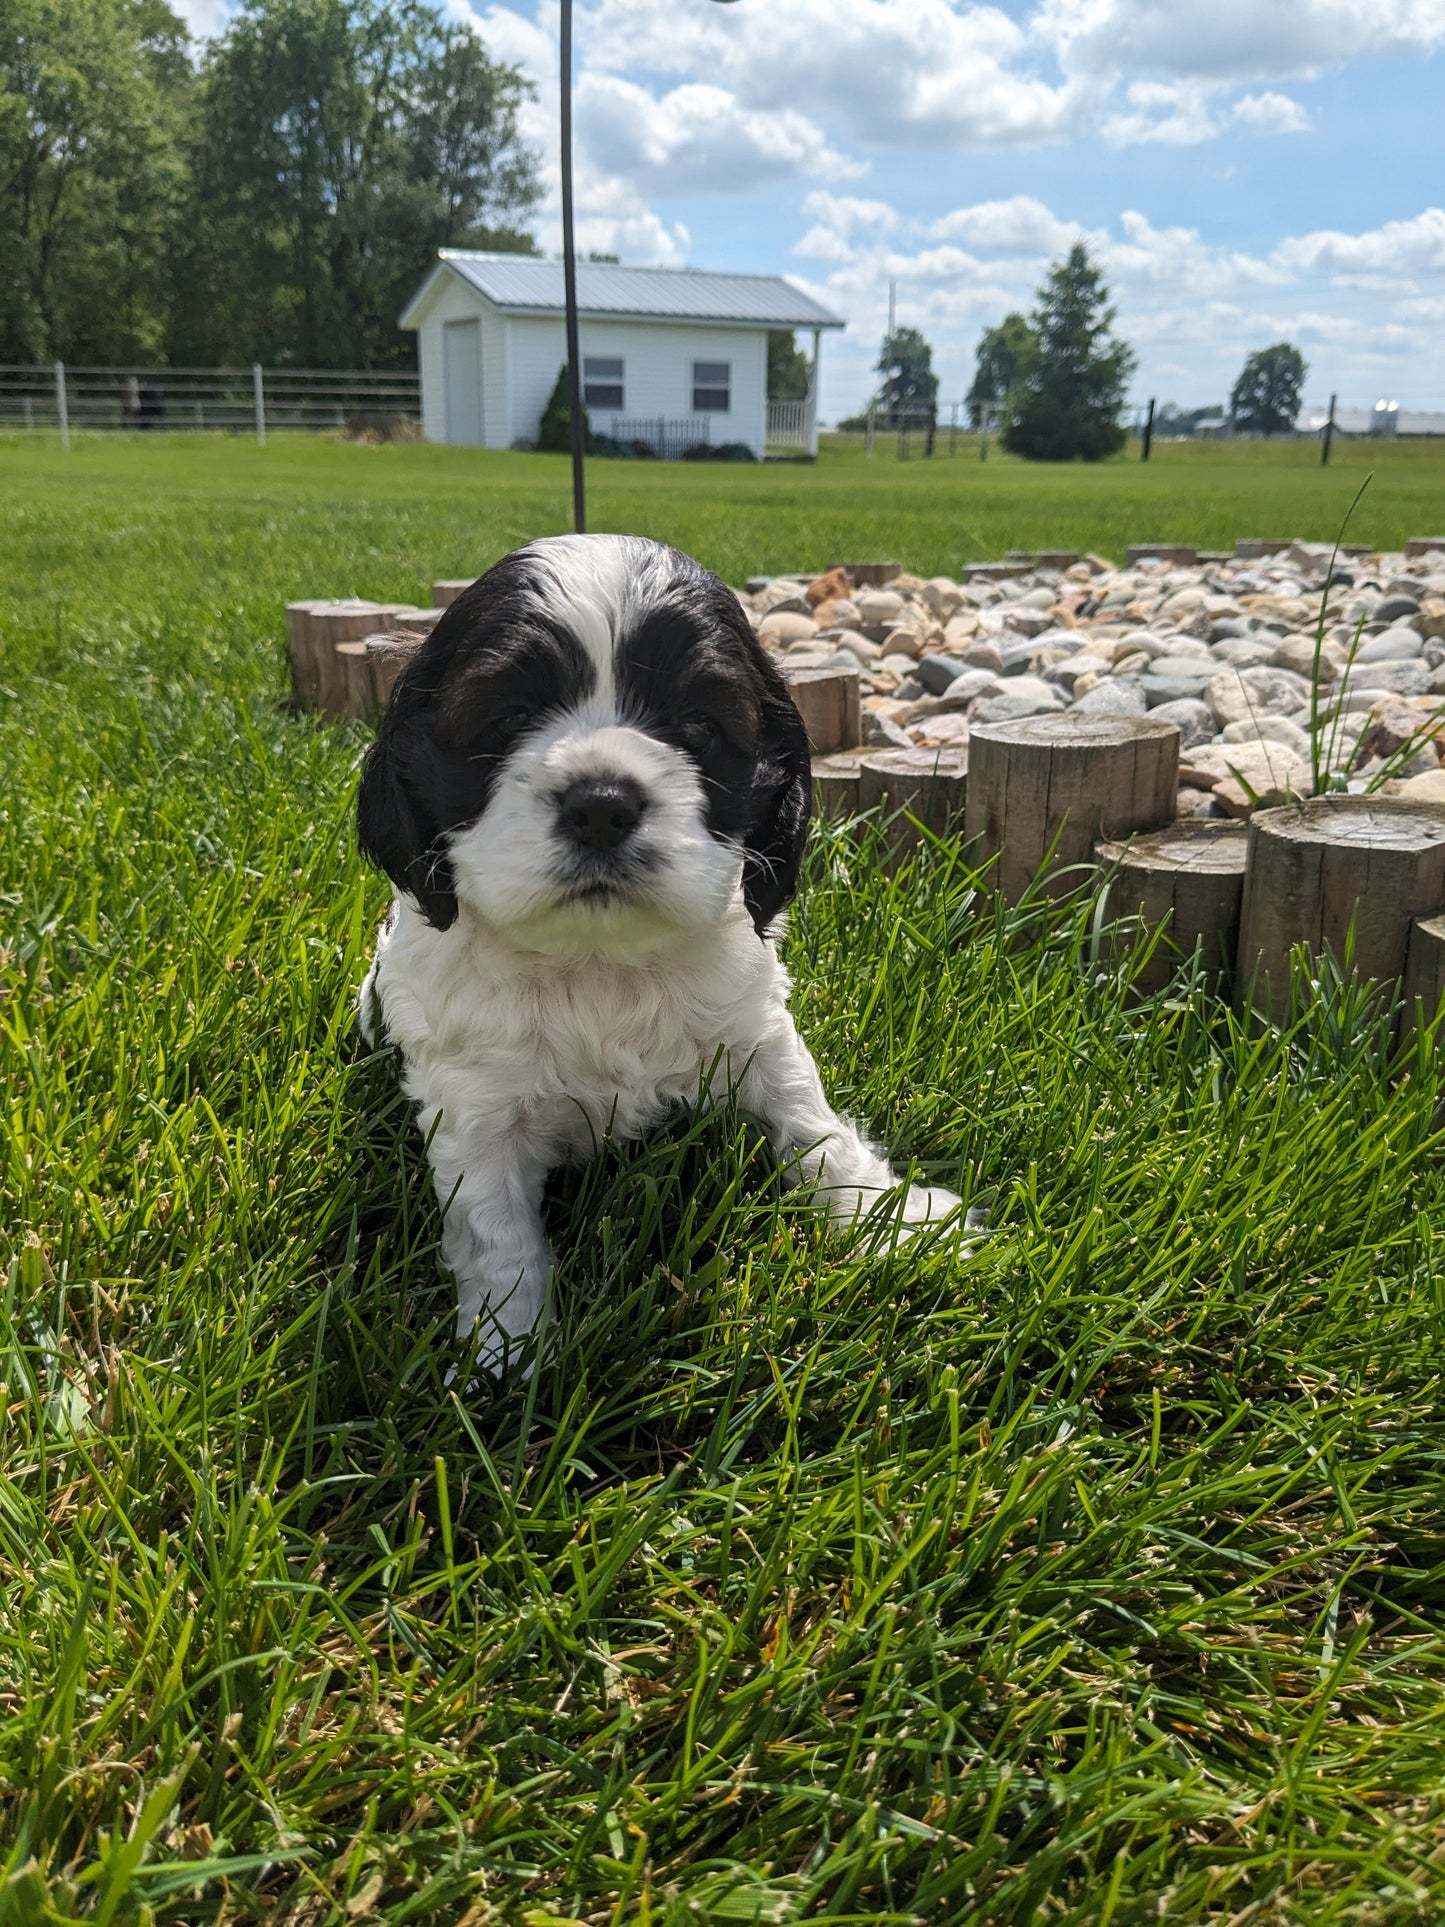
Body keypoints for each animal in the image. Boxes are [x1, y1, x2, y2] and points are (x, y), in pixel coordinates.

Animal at [356, 531, 963, 1372]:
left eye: (698, 726)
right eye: (508, 717)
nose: (600, 805)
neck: (598, 962)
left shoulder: (755, 1033)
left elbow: (812, 1123)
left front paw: (892, 1219)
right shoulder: (473, 1105)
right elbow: (494, 1226)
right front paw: (510, 1355)